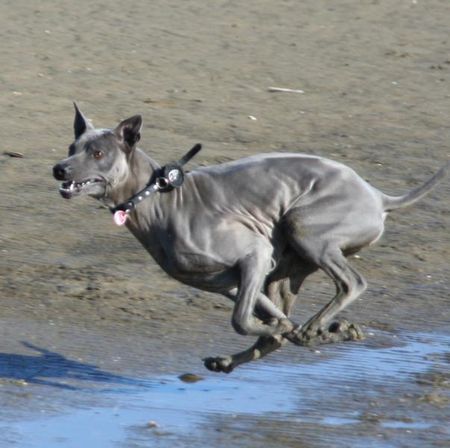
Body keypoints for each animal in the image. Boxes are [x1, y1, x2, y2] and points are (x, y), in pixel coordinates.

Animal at [52, 104, 446, 372]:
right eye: (72, 148)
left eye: (98, 153)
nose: (58, 168)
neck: (161, 198)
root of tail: (377, 196)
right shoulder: (232, 281)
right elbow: (271, 322)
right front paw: (303, 331)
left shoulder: (255, 254)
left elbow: (242, 321)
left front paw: (305, 330)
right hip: (288, 269)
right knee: (288, 316)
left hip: (304, 226)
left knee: (352, 283)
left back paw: (314, 326)